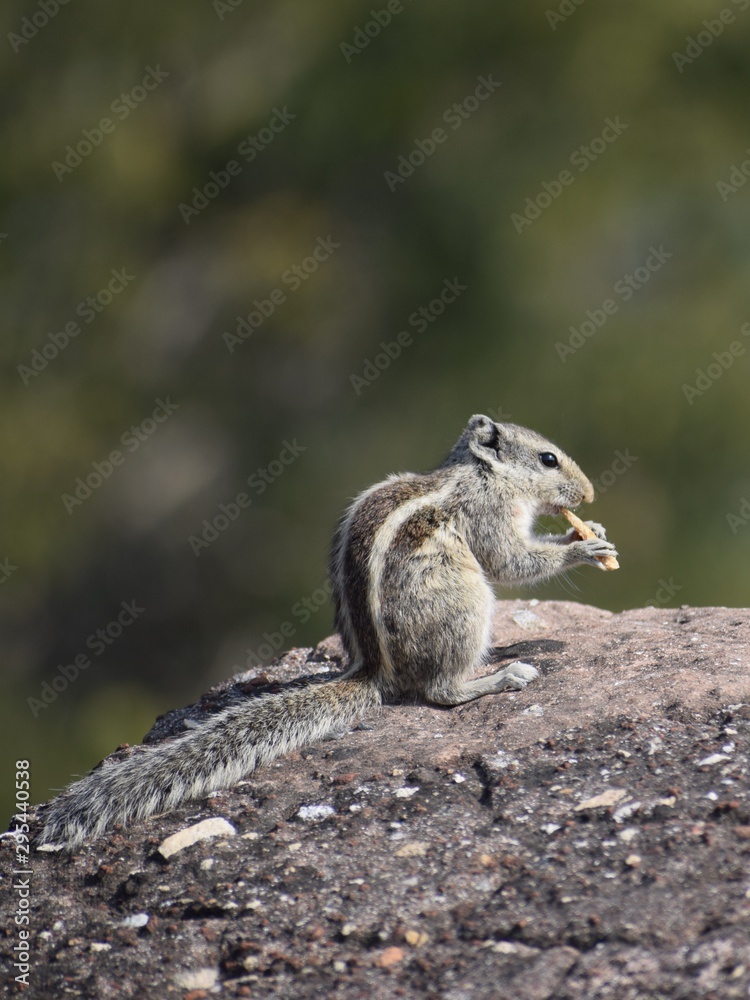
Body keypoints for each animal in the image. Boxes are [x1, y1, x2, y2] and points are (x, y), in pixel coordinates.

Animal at [36, 415, 617, 849]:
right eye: (548, 459)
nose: (590, 495)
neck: (481, 473)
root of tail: (375, 673)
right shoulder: (489, 515)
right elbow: (512, 561)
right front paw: (584, 546)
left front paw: (590, 532)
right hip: (465, 603)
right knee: (440, 692)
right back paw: (500, 676)